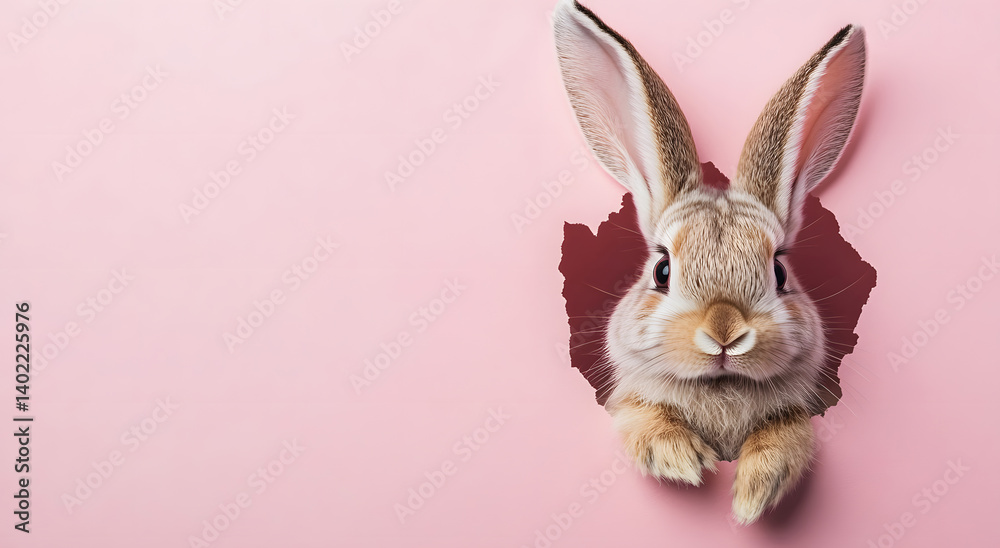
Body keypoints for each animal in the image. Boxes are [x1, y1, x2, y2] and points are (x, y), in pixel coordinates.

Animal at [553, 0, 866, 525]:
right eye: (661, 270)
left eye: (779, 271)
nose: (725, 331)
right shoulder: (630, 403)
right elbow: (646, 419)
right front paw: (683, 461)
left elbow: (785, 439)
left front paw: (754, 493)